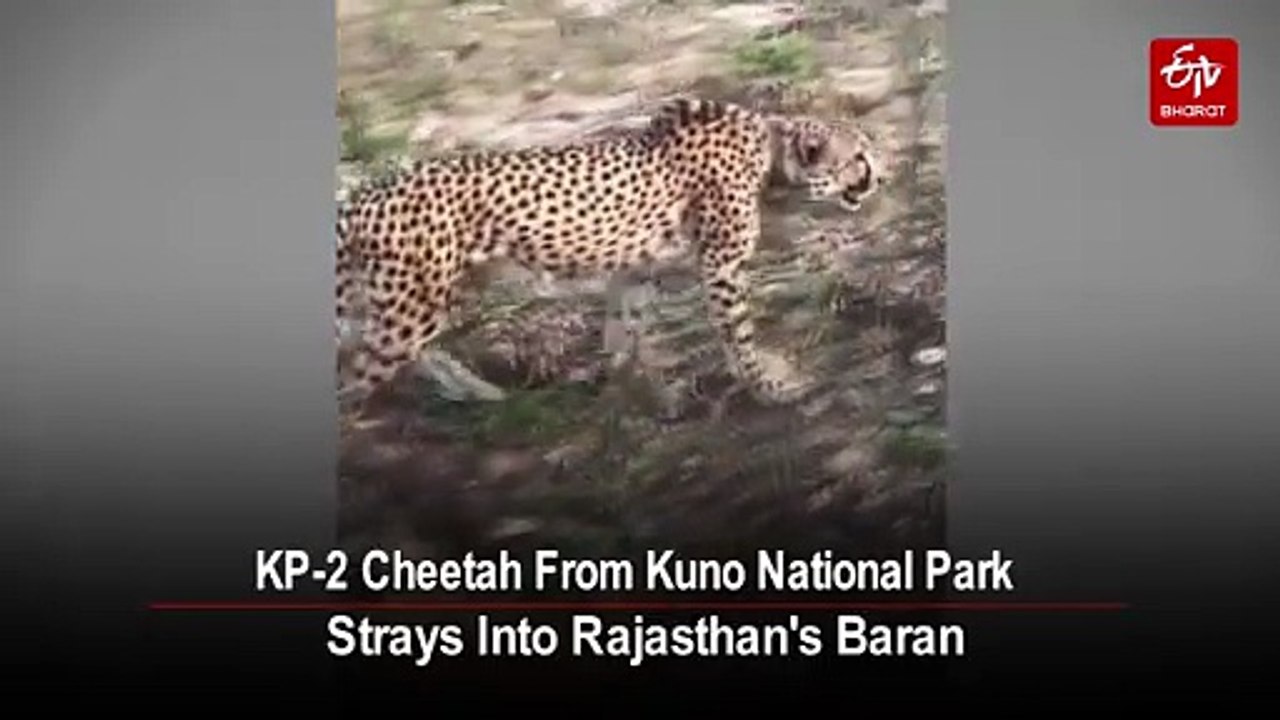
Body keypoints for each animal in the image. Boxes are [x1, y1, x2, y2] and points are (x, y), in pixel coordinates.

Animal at [334, 96, 888, 415]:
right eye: (859, 157)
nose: (882, 176)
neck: (770, 151)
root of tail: (363, 192)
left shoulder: (636, 268)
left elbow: (625, 332)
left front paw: (642, 392)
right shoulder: (721, 268)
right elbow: (739, 336)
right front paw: (769, 387)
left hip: (424, 296)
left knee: (391, 348)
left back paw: (475, 391)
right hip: (413, 305)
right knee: (357, 368)